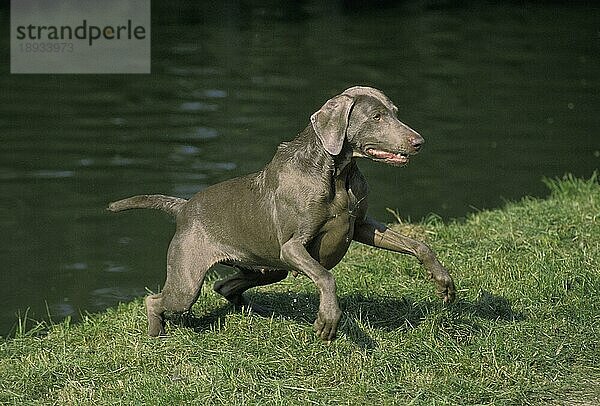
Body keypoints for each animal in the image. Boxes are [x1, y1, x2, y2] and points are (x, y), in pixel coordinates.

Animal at [108, 85, 454, 340]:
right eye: (377, 116)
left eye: (394, 112)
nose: (419, 142)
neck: (337, 174)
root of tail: (184, 207)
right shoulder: (292, 247)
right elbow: (326, 276)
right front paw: (328, 319)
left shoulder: (361, 226)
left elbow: (419, 245)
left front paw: (443, 283)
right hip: (189, 278)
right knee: (156, 300)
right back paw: (157, 334)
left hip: (267, 267)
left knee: (225, 286)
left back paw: (248, 309)